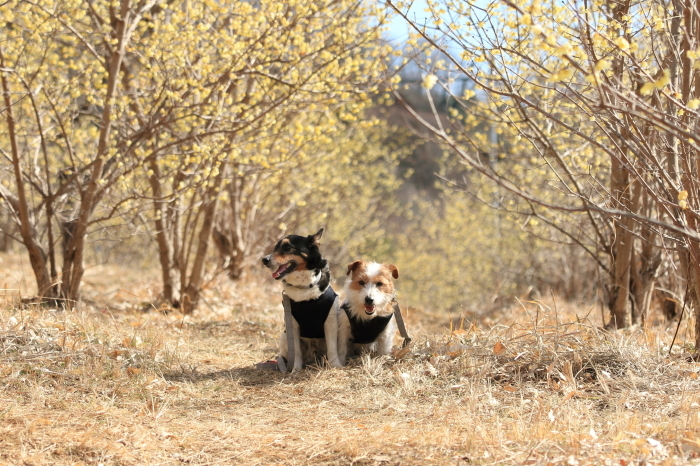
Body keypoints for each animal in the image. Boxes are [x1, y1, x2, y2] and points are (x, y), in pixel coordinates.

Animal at [262, 229, 344, 372]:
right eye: (275, 247)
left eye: (287, 247)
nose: (264, 259)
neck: (305, 288)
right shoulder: (293, 325)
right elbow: (296, 352)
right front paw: (295, 369)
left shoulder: (331, 322)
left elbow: (332, 349)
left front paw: (335, 365)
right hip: (284, 336)